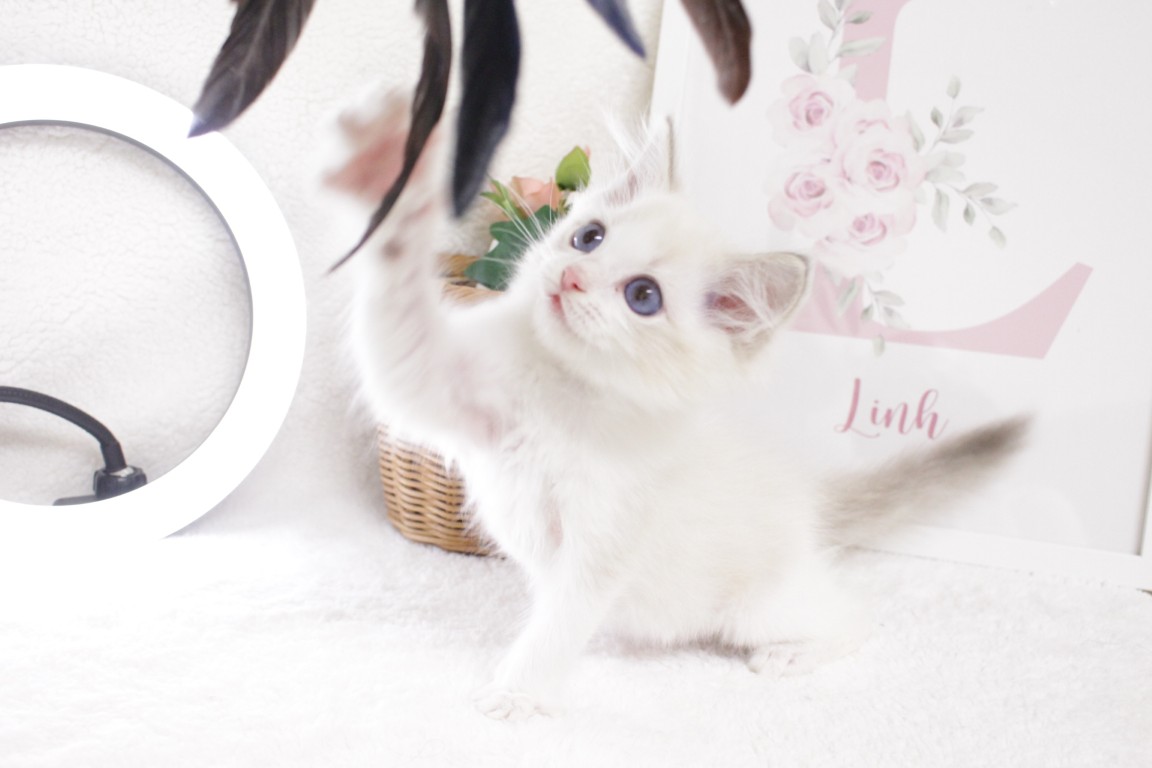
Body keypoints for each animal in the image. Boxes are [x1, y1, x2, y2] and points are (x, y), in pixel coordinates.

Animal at [322, 86, 1027, 721]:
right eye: (589, 238)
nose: (571, 277)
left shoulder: (601, 543)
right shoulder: (446, 387)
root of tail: (806, 496)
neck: (565, 388)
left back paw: (790, 654)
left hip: (755, 609)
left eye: (642, 297)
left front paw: (517, 695)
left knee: (856, 617)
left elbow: (556, 627)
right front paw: (387, 171)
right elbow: (399, 325)